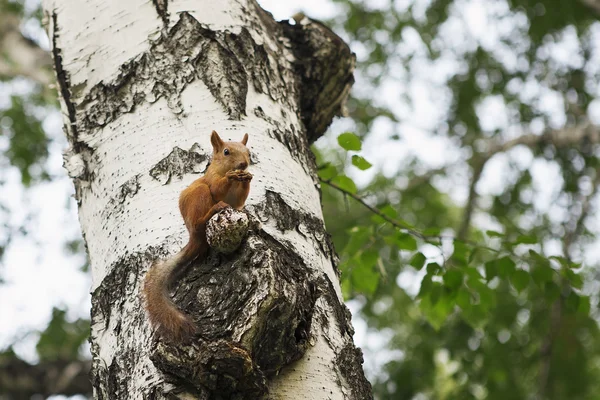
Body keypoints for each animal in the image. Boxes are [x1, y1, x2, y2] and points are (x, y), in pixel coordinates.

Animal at [144, 130, 252, 340]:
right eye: (226, 152)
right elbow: (217, 187)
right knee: (199, 220)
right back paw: (212, 211)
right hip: (199, 197)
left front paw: (248, 177)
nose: (243, 164)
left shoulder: (237, 200)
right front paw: (230, 176)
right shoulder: (210, 179)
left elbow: (239, 201)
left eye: (248, 152)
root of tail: (195, 239)